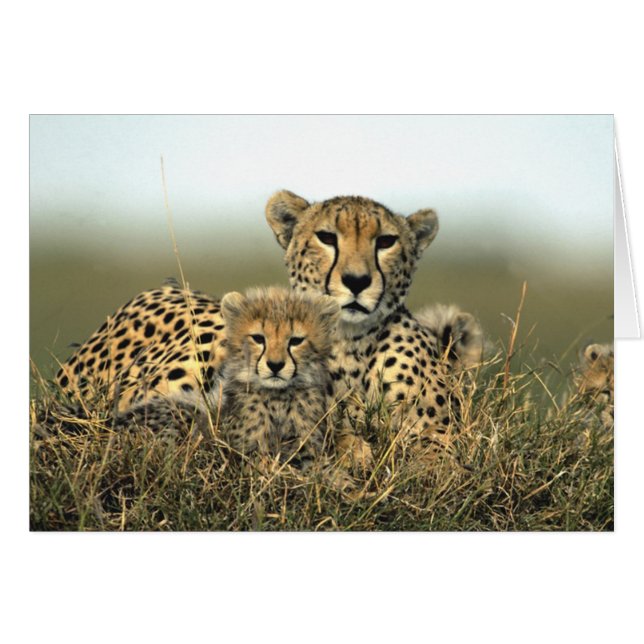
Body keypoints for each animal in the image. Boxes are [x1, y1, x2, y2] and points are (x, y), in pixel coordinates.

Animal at [265, 190, 483, 465]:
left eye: (386, 242)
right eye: (326, 237)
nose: (356, 281)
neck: (350, 342)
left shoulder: (442, 426)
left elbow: (437, 448)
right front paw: (355, 451)